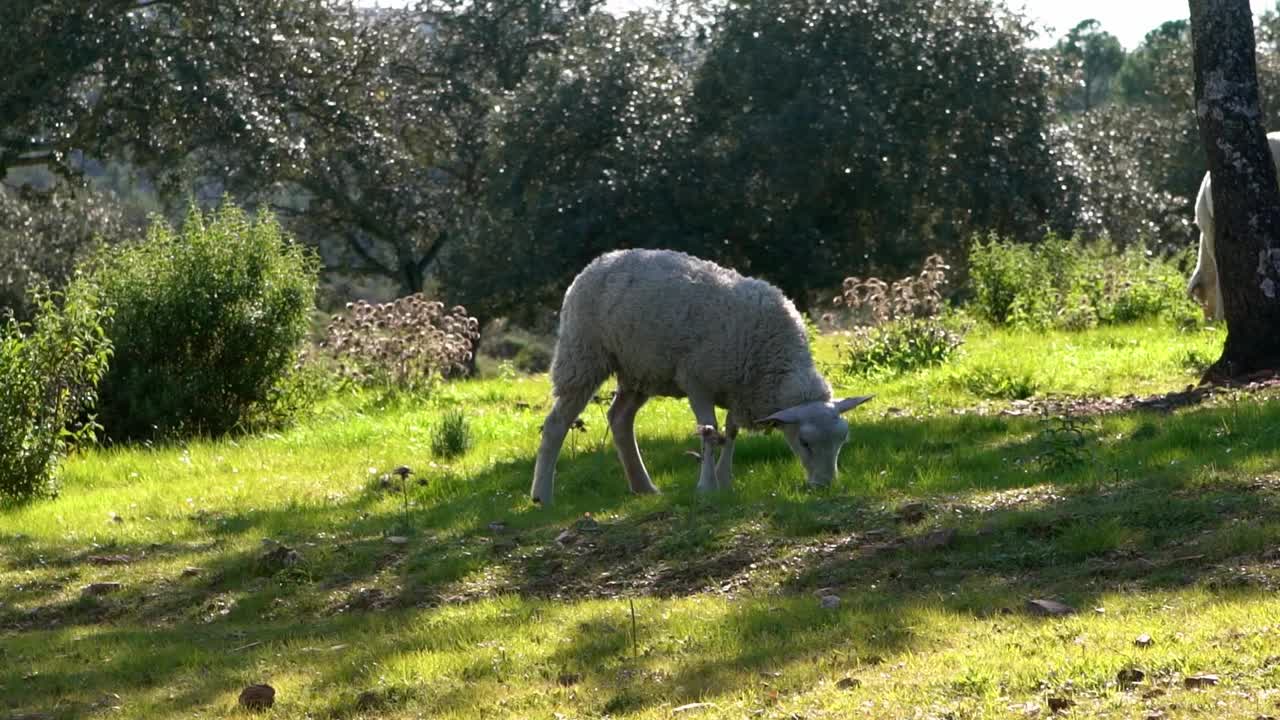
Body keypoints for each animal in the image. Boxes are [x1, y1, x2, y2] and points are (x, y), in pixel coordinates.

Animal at [527, 249, 870, 502]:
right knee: (556, 424)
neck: (772, 354)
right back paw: (542, 496)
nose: (825, 485)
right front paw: (707, 487)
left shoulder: (738, 389)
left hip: (640, 370)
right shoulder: (698, 382)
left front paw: (724, 479)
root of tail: (602, 259)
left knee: (620, 419)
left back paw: (643, 487)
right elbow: (709, 432)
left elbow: (730, 433)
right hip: (583, 355)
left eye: (842, 441)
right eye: (804, 442)